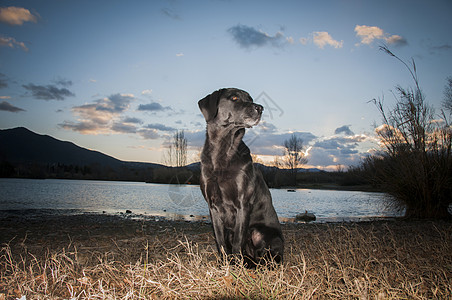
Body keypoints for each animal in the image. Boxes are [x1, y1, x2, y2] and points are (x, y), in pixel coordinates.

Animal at [198, 87, 282, 268]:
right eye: (234, 98)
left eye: (250, 99)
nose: (260, 108)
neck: (222, 149)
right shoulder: (213, 206)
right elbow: (220, 240)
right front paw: (224, 264)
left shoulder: (243, 204)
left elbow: (238, 241)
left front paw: (236, 267)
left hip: (261, 233)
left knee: (270, 258)